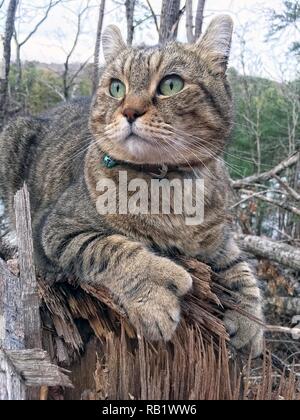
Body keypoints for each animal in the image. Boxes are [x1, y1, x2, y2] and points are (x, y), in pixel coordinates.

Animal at [0, 15, 262, 354]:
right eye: (116, 87)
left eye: (171, 84)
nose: (130, 111)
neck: (166, 188)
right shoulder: (54, 230)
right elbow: (110, 248)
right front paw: (155, 290)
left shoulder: (219, 239)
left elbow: (242, 268)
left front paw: (251, 324)